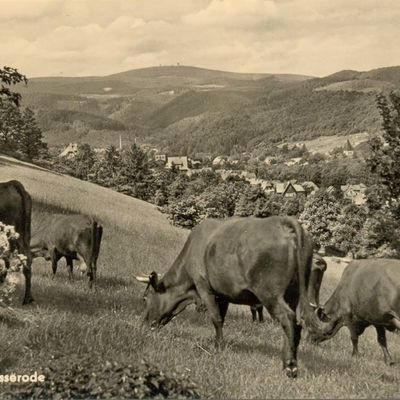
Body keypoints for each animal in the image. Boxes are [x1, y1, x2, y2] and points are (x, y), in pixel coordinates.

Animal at [136, 217, 324, 376]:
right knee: (291, 324)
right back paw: (285, 362)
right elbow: (223, 317)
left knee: (288, 319)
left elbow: (216, 318)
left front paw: (218, 346)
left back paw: (291, 366)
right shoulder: (223, 295)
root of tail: (284, 221)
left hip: (270, 293)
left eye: (145, 298)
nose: (142, 325)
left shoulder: (204, 288)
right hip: (293, 294)